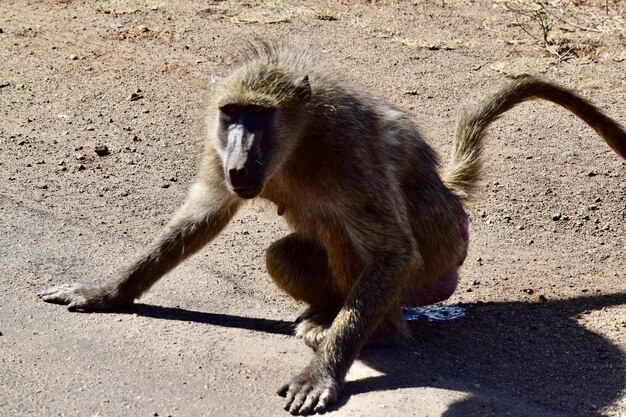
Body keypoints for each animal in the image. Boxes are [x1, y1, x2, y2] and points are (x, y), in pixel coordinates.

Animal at [37, 41, 624, 412]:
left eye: (260, 116)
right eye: (231, 114)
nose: (240, 160)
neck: (295, 142)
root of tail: (450, 195)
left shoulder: (347, 146)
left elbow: (391, 251)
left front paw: (323, 373)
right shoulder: (215, 151)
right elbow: (202, 213)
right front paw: (105, 293)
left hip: (438, 258)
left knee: (359, 242)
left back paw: (375, 333)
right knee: (284, 254)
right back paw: (323, 313)